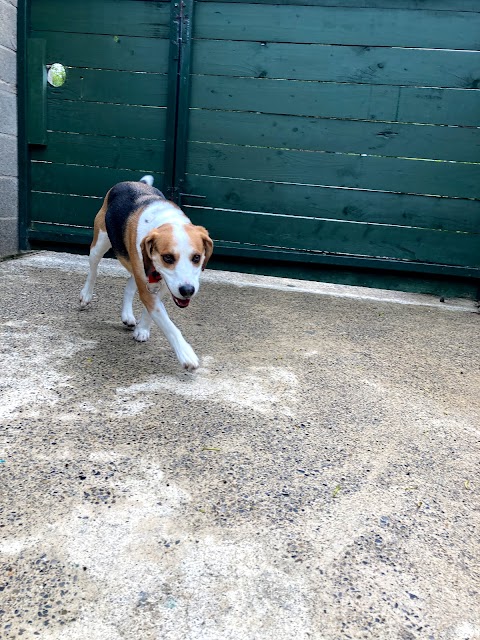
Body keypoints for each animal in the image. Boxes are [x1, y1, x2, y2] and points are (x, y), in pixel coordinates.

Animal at [79, 178, 213, 372]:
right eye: (168, 257)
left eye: (196, 257)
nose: (187, 290)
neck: (166, 221)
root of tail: (132, 182)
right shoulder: (149, 286)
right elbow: (168, 324)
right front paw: (185, 353)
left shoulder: (162, 284)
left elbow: (151, 309)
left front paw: (142, 329)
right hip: (100, 243)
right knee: (93, 269)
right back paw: (86, 295)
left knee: (129, 285)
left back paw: (127, 315)